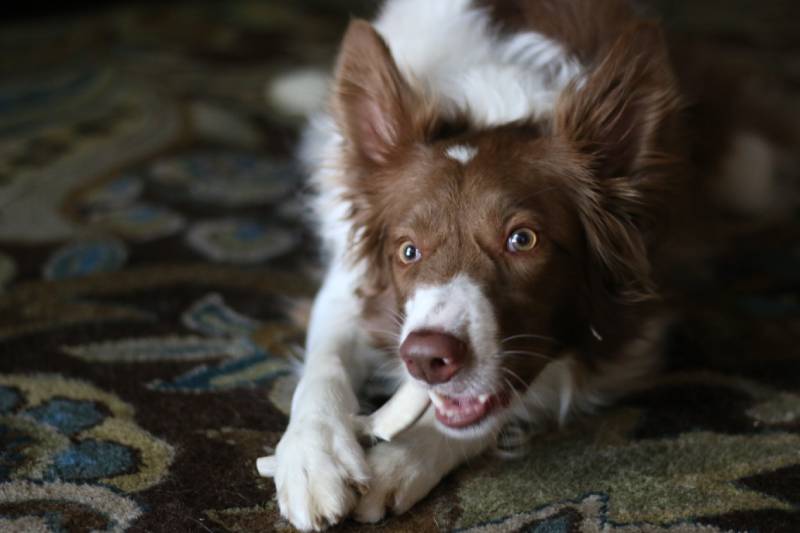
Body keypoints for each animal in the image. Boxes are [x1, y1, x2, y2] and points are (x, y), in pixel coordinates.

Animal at [268, 0, 788, 528]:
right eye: (408, 250)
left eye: (522, 239)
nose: (426, 358)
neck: (495, 105)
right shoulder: (350, 280)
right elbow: (323, 366)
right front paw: (313, 457)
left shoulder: (634, 331)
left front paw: (399, 462)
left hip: (749, 172)